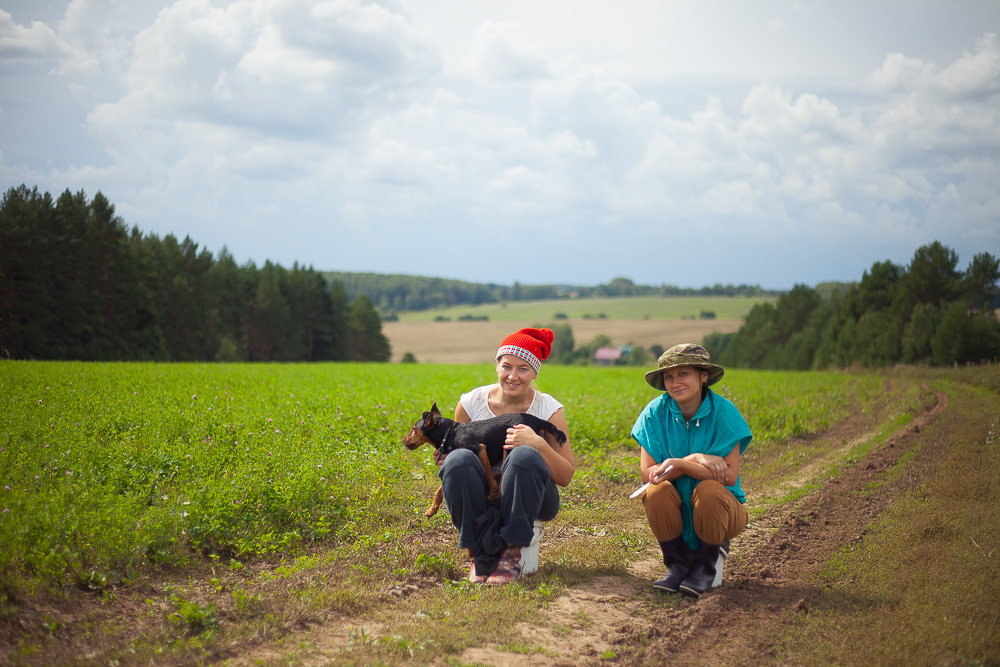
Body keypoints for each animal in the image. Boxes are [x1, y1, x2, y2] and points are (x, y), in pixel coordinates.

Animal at [402, 402, 568, 516]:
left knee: (502, 478)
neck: (449, 434)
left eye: (413, 429)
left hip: (510, 443)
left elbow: (487, 471)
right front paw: (432, 509)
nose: (403, 441)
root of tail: (538, 420)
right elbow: (439, 490)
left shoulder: (479, 448)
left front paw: (492, 488)